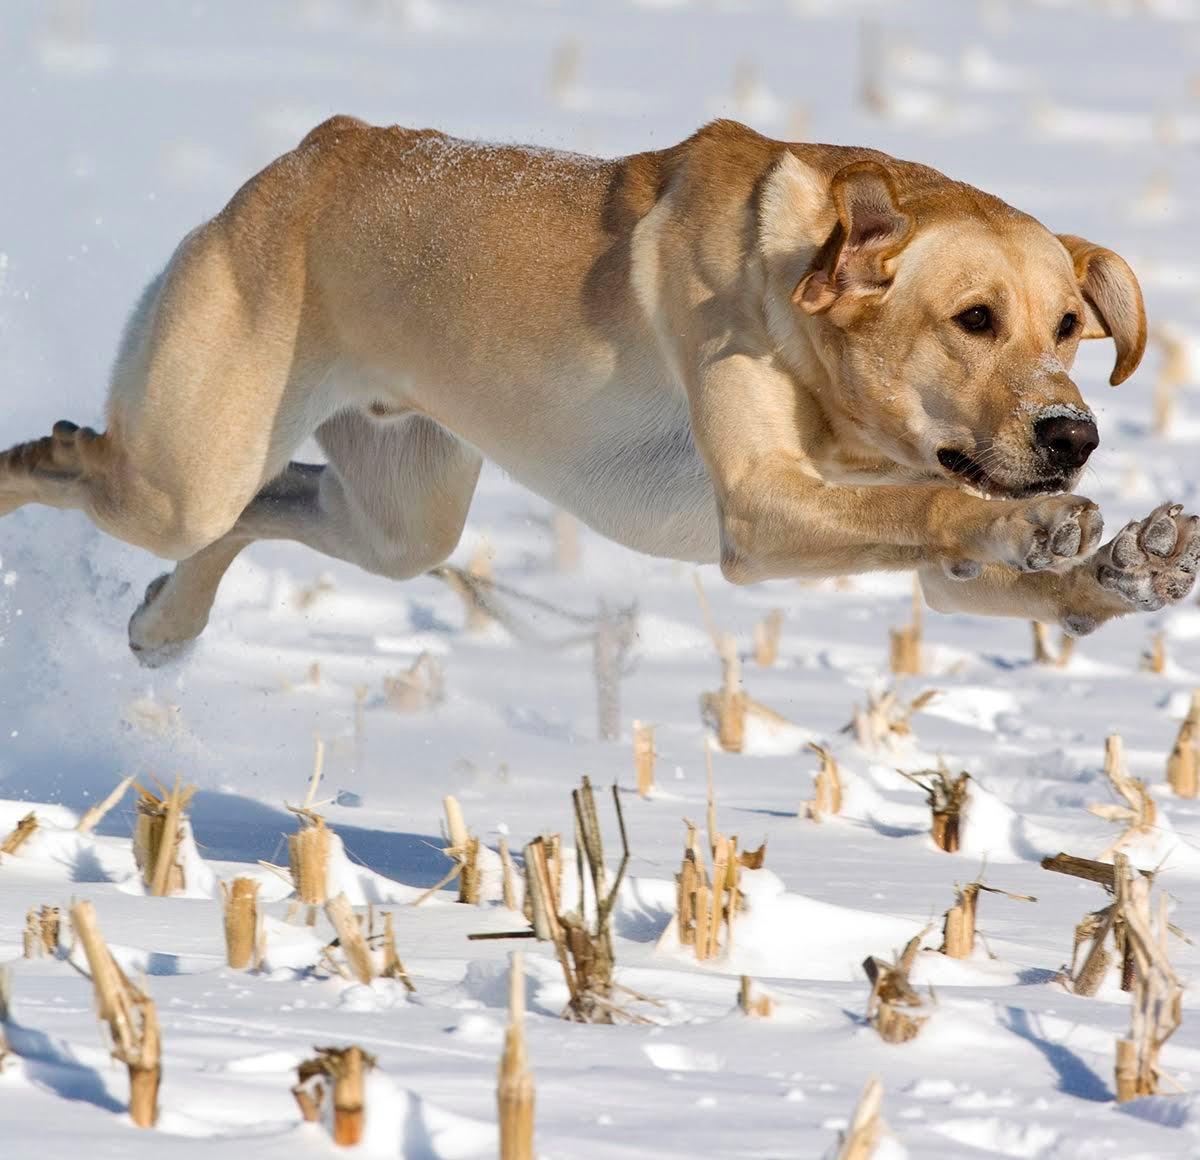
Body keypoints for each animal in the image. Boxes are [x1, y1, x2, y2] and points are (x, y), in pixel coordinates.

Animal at [0, 119, 1195, 666]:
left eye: (1069, 327)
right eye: (974, 318)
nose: (1073, 436)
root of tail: (304, 159)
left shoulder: (913, 547)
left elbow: (980, 559)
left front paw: (1124, 567)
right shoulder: (759, 511)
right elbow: (940, 503)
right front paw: (1046, 522)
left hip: (399, 513)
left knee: (264, 505)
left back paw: (165, 618)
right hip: (181, 471)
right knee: (108, 473)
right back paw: (43, 456)